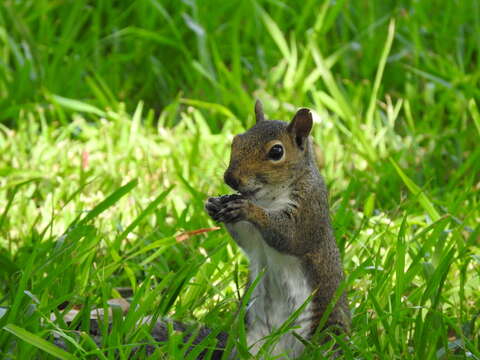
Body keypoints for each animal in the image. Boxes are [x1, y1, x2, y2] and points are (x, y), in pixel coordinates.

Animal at [204, 100, 350, 358]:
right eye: (236, 141)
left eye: (276, 152)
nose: (230, 178)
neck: (267, 198)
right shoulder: (253, 239)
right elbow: (246, 239)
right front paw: (214, 204)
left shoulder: (309, 210)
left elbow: (289, 237)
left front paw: (249, 210)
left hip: (328, 335)